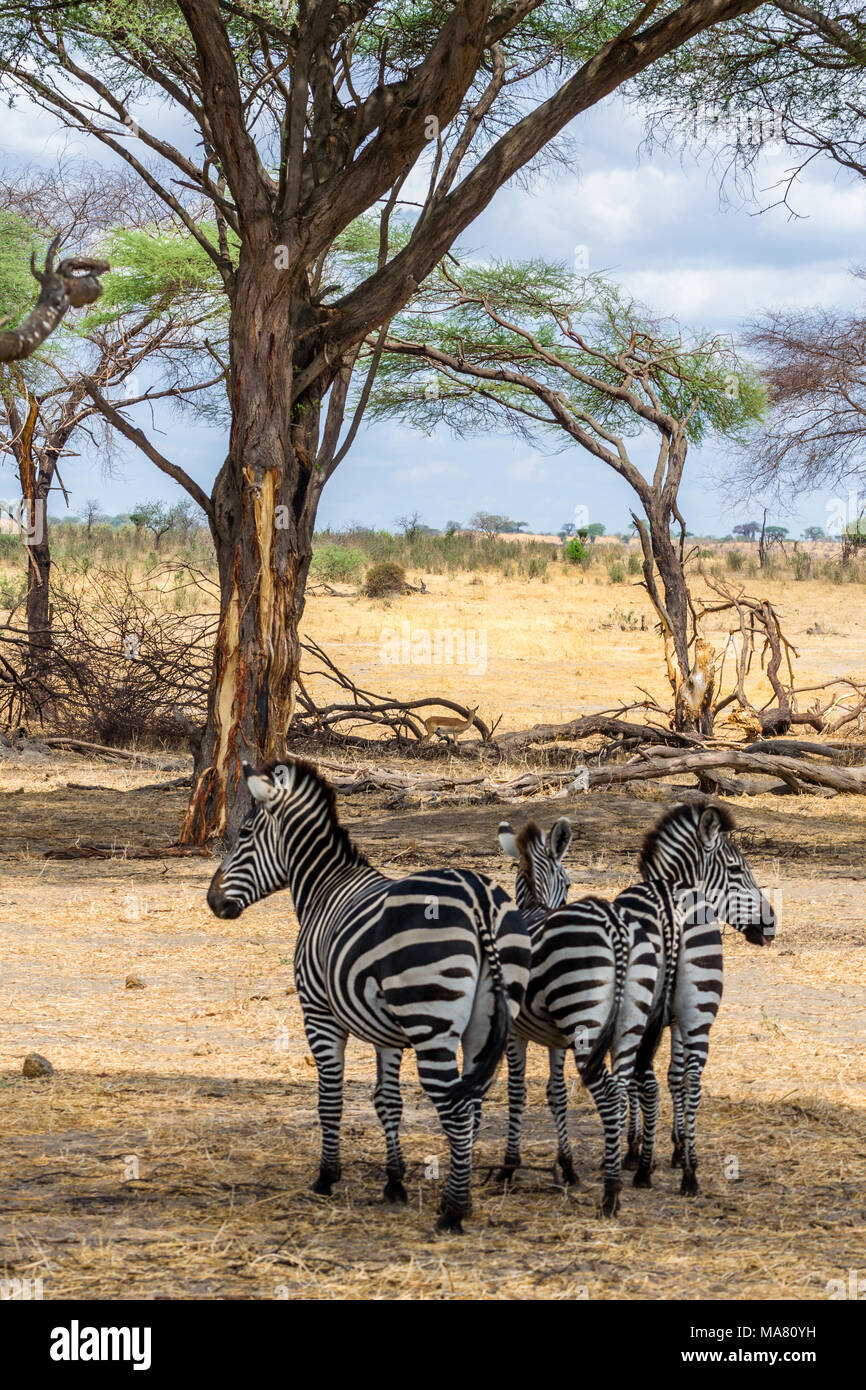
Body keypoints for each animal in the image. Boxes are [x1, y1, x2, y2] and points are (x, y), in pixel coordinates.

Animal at [494, 817, 656, 1212]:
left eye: (567, 883)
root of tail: (613, 923)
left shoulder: (515, 1032)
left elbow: (517, 1092)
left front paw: (509, 1167)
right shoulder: (556, 1038)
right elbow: (556, 1094)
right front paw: (566, 1167)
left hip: (584, 1022)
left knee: (610, 1094)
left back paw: (611, 1192)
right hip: (628, 1024)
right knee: (624, 1088)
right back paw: (624, 1166)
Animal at [617, 806, 778, 1195]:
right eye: (736, 870)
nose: (772, 923)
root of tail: (669, 908)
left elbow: (657, 1078)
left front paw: (644, 1149)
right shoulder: (677, 1018)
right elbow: (676, 1077)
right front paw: (676, 1147)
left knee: (645, 1079)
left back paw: (645, 1168)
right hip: (697, 1011)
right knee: (690, 1080)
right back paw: (688, 1172)